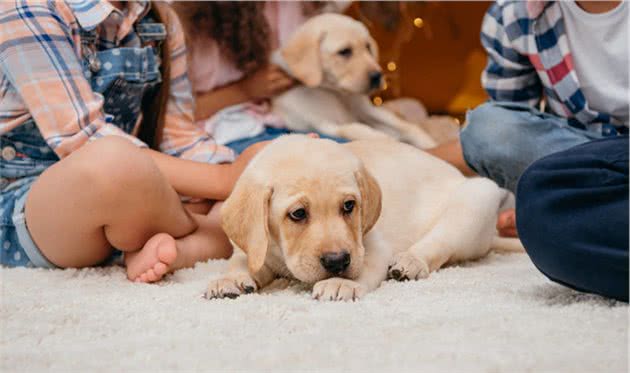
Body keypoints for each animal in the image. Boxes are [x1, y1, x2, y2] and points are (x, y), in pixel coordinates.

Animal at [207, 135, 524, 300]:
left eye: (349, 206)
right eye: (297, 214)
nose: (337, 262)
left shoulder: (370, 244)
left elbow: (366, 265)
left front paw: (343, 283)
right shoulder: (252, 246)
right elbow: (240, 261)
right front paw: (229, 279)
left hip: (477, 197)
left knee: (439, 244)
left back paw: (410, 261)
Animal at [272, 13, 440, 150]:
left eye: (368, 47)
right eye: (344, 51)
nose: (377, 76)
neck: (338, 94)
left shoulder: (367, 110)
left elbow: (406, 126)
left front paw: (428, 142)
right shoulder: (325, 124)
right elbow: (359, 130)